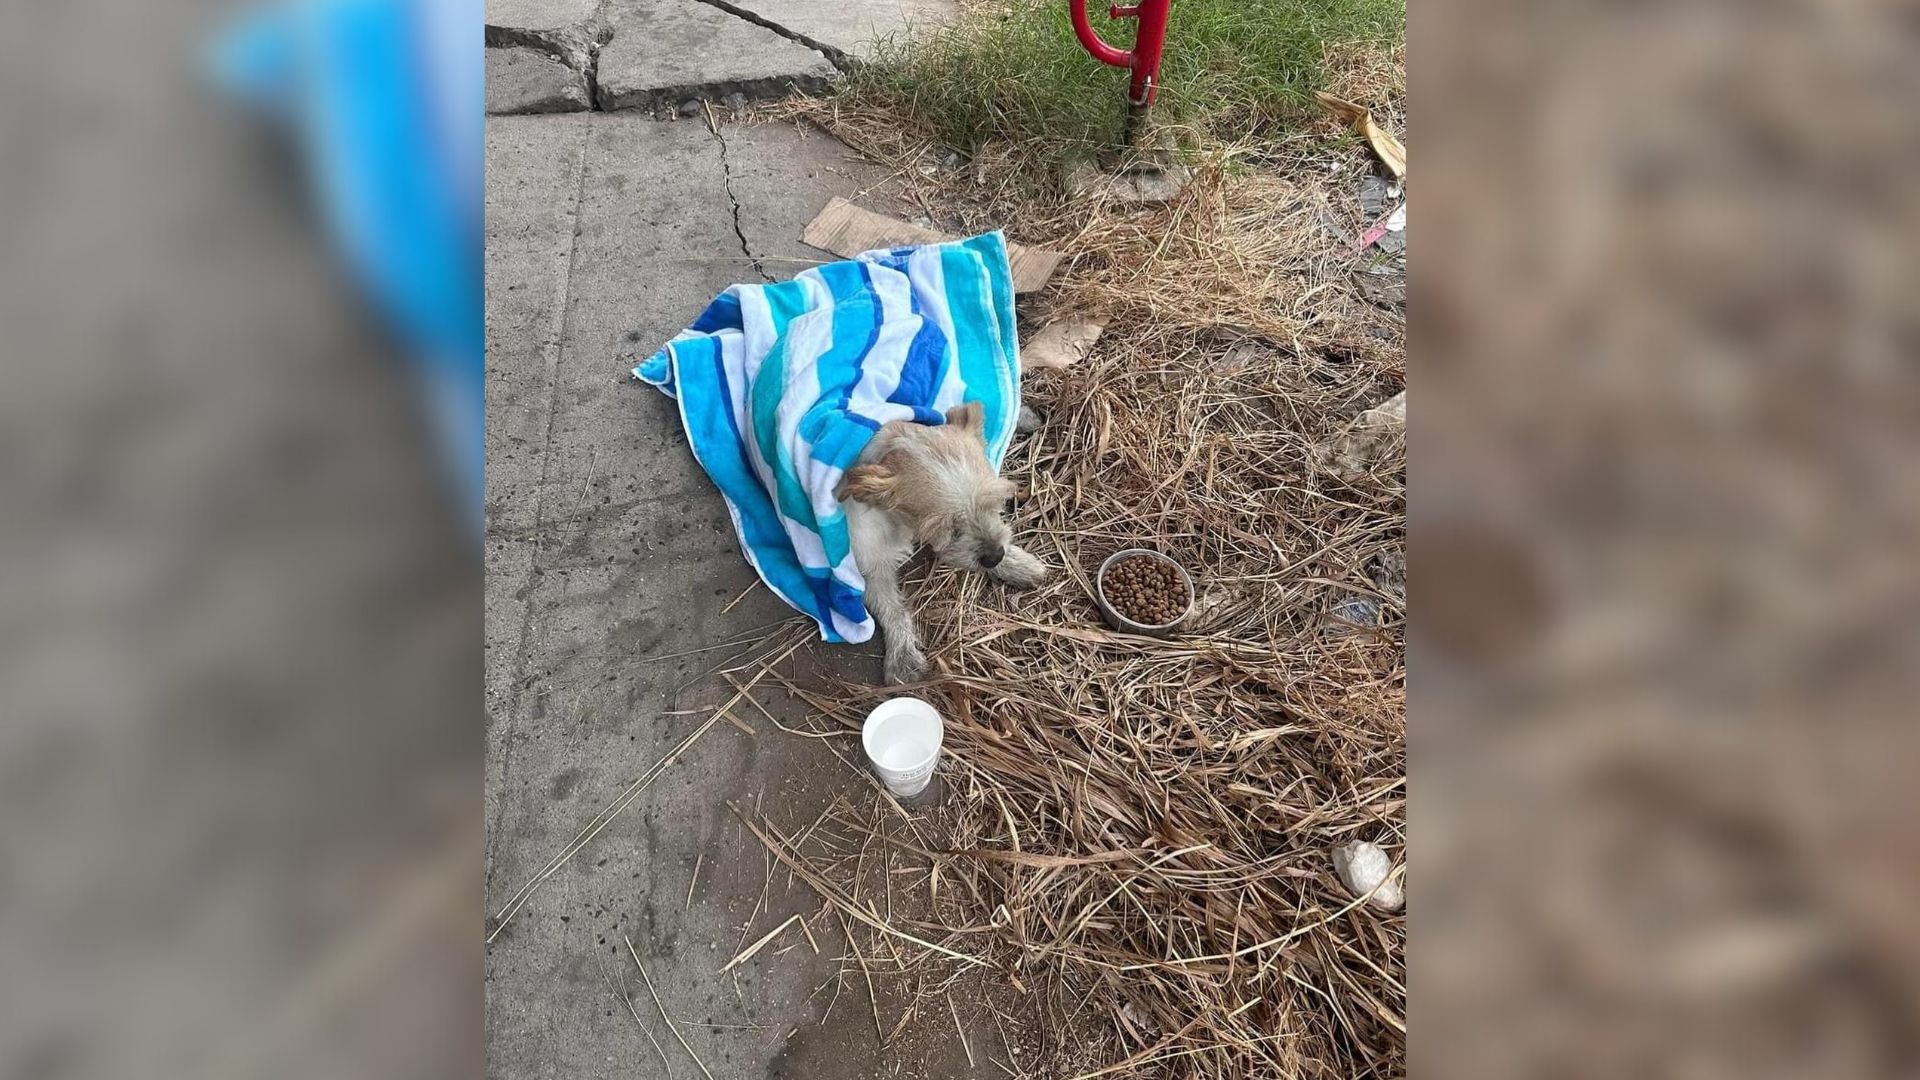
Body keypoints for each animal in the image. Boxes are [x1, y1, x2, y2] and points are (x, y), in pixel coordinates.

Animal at [840, 399, 1052, 676]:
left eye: (994, 503)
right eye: (947, 528)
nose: (994, 556)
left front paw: (1018, 565)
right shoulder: (872, 561)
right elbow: (893, 609)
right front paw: (903, 657)